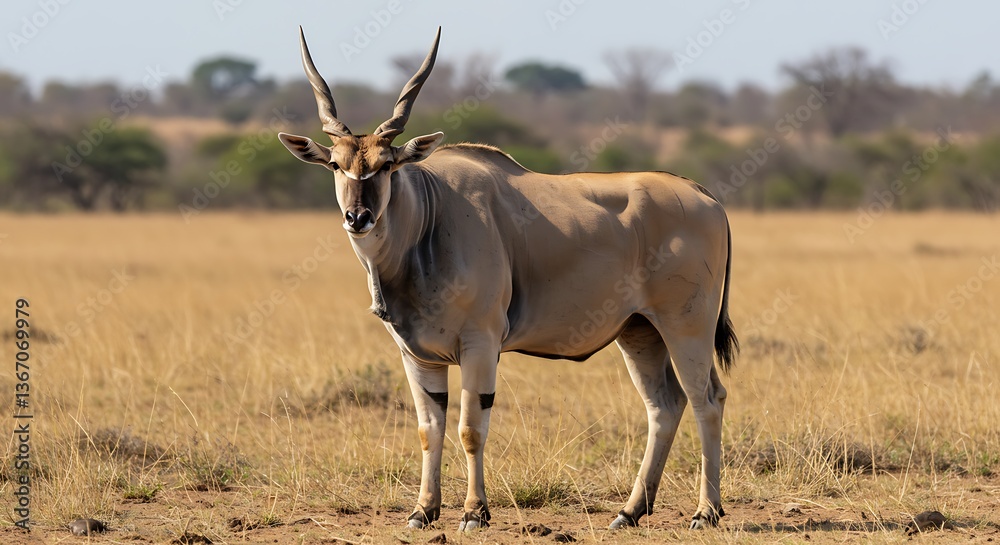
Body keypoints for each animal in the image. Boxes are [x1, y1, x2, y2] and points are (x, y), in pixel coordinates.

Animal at [279, 27, 738, 532]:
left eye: (387, 165)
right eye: (336, 165)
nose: (358, 217)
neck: (431, 216)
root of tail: (705, 197)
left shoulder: (480, 344)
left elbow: (470, 429)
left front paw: (474, 513)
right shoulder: (417, 355)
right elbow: (428, 428)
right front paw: (423, 511)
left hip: (686, 327)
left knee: (707, 399)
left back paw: (706, 512)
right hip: (639, 333)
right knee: (664, 406)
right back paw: (630, 511)